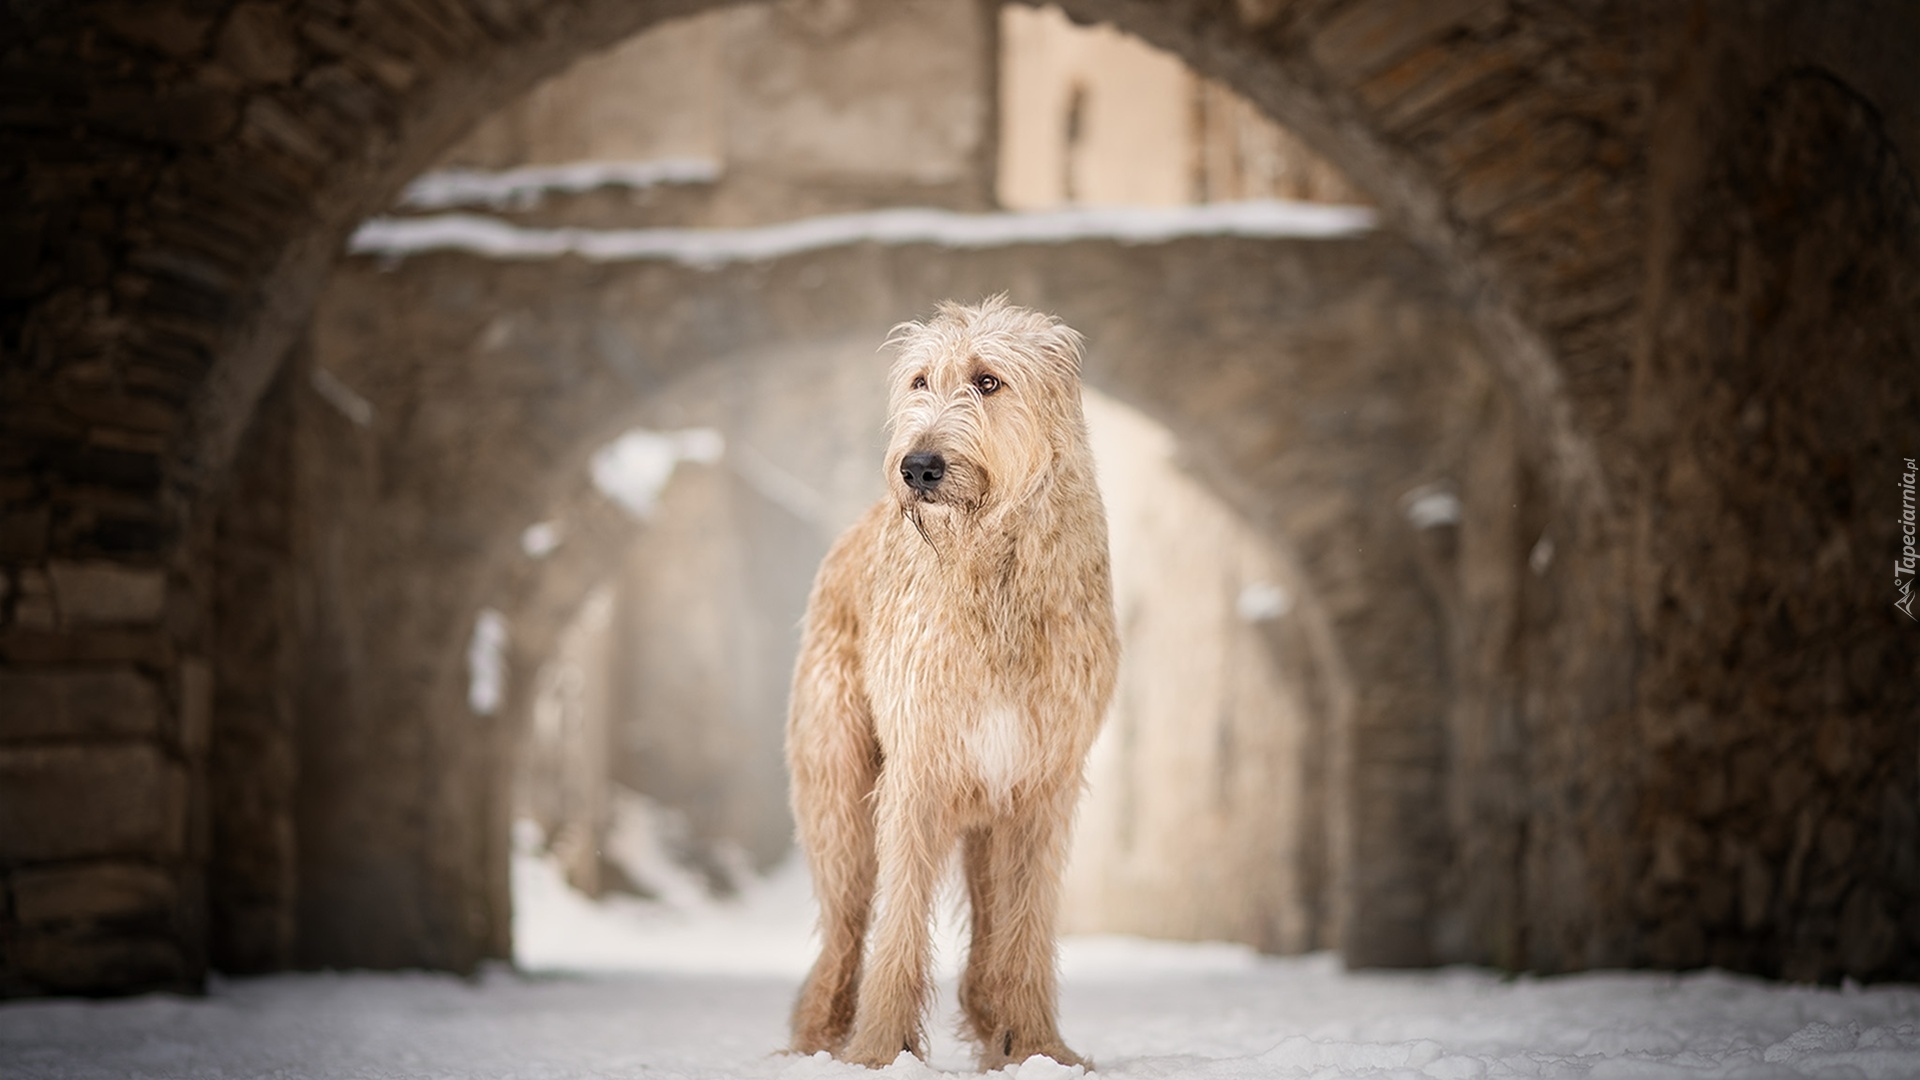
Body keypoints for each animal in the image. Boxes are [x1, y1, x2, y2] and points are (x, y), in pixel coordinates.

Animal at [787, 294, 1121, 1068]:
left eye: (988, 380)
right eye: (919, 381)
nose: (918, 467)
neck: (995, 572)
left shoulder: (1043, 784)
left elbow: (1026, 928)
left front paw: (1039, 1048)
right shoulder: (918, 768)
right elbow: (901, 923)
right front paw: (880, 1051)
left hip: (986, 811)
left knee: (990, 926)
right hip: (837, 789)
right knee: (847, 921)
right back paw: (816, 1036)